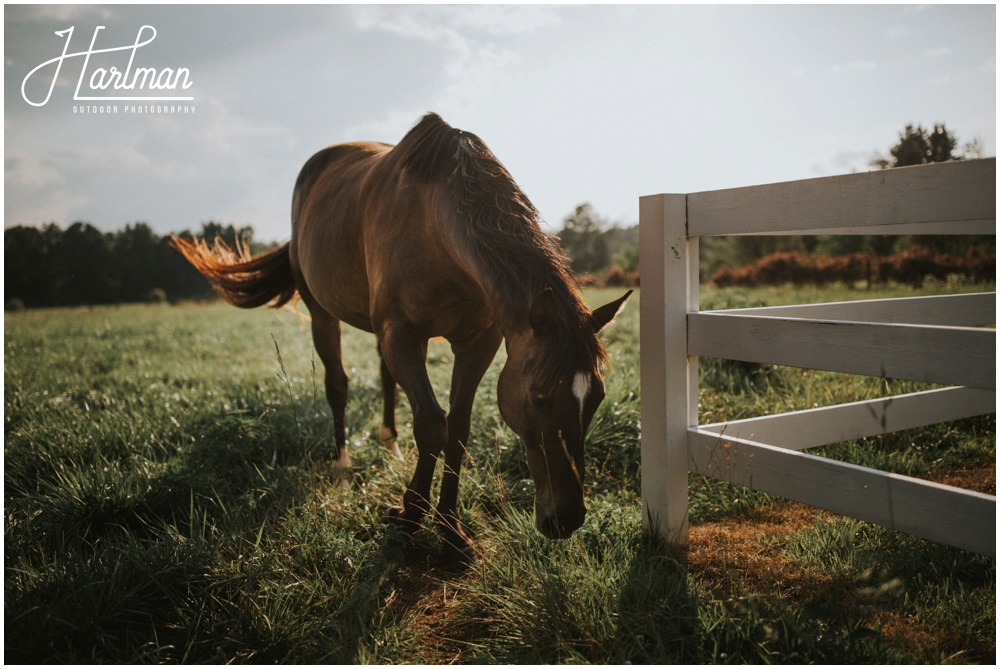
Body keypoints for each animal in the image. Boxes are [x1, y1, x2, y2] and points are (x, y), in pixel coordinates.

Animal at [171, 113, 624, 564]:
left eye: (597, 397)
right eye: (539, 396)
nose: (566, 519)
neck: (436, 228)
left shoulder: (478, 342)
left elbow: (457, 428)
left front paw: (450, 530)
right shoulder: (403, 335)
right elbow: (431, 425)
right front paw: (409, 516)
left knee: (386, 378)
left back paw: (390, 443)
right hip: (323, 314)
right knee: (337, 385)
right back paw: (343, 464)